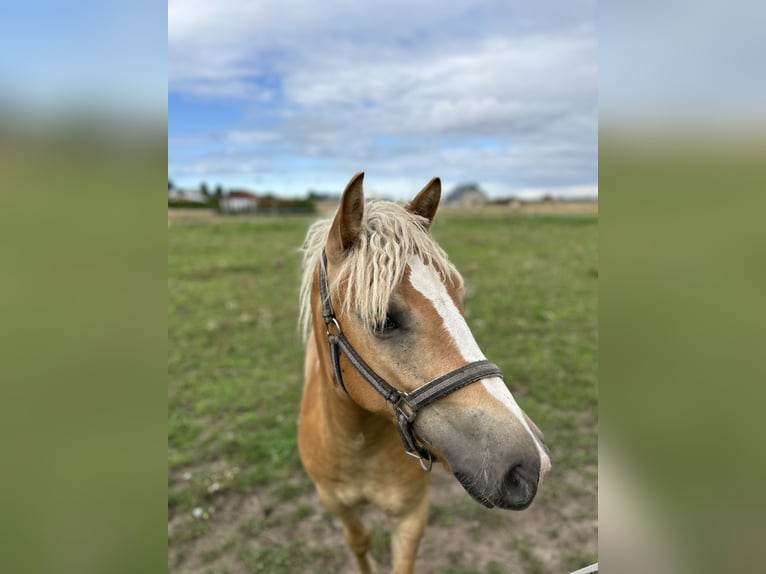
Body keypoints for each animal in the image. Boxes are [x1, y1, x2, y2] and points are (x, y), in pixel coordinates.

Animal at [298, 173, 552, 572]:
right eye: (384, 320)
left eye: (461, 299)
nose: (531, 465)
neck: (357, 442)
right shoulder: (335, 504)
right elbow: (359, 542)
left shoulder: (411, 514)